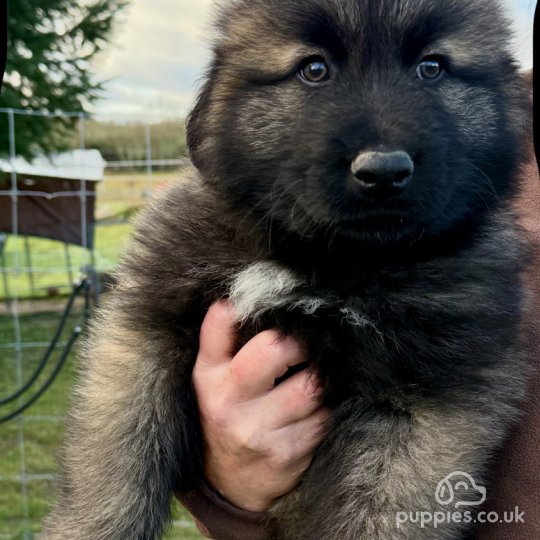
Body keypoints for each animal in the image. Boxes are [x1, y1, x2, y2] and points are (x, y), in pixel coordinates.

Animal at [43, 1, 532, 540]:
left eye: (432, 68)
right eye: (314, 69)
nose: (383, 170)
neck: (318, 254)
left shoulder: (424, 402)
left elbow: (382, 511)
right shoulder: (146, 317)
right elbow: (115, 454)